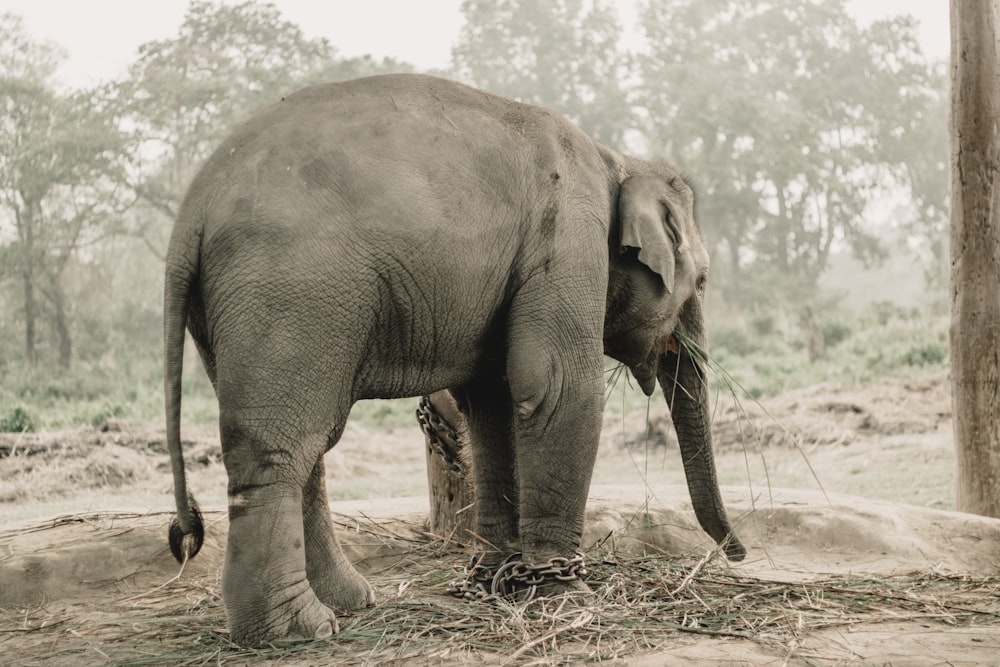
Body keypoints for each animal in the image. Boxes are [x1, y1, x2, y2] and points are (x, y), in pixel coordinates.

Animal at [162, 73, 744, 648]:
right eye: (703, 281)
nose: (736, 554)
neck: (618, 159)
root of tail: (192, 209)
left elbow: (492, 400)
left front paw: (496, 580)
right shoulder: (568, 237)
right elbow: (557, 387)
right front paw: (567, 597)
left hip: (236, 313)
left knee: (307, 447)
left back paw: (348, 603)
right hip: (290, 291)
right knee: (279, 449)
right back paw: (296, 631)